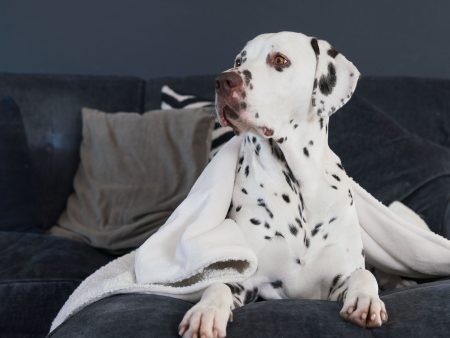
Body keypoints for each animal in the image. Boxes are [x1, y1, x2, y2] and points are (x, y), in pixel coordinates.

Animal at [178, 31, 386, 336]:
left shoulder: (341, 275)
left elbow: (363, 275)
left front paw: (366, 300)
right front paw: (205, 312)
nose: (223, 80)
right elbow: (218, 287)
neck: (299, 186)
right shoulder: (246, 281)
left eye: (279, 60)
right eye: (239, 61)